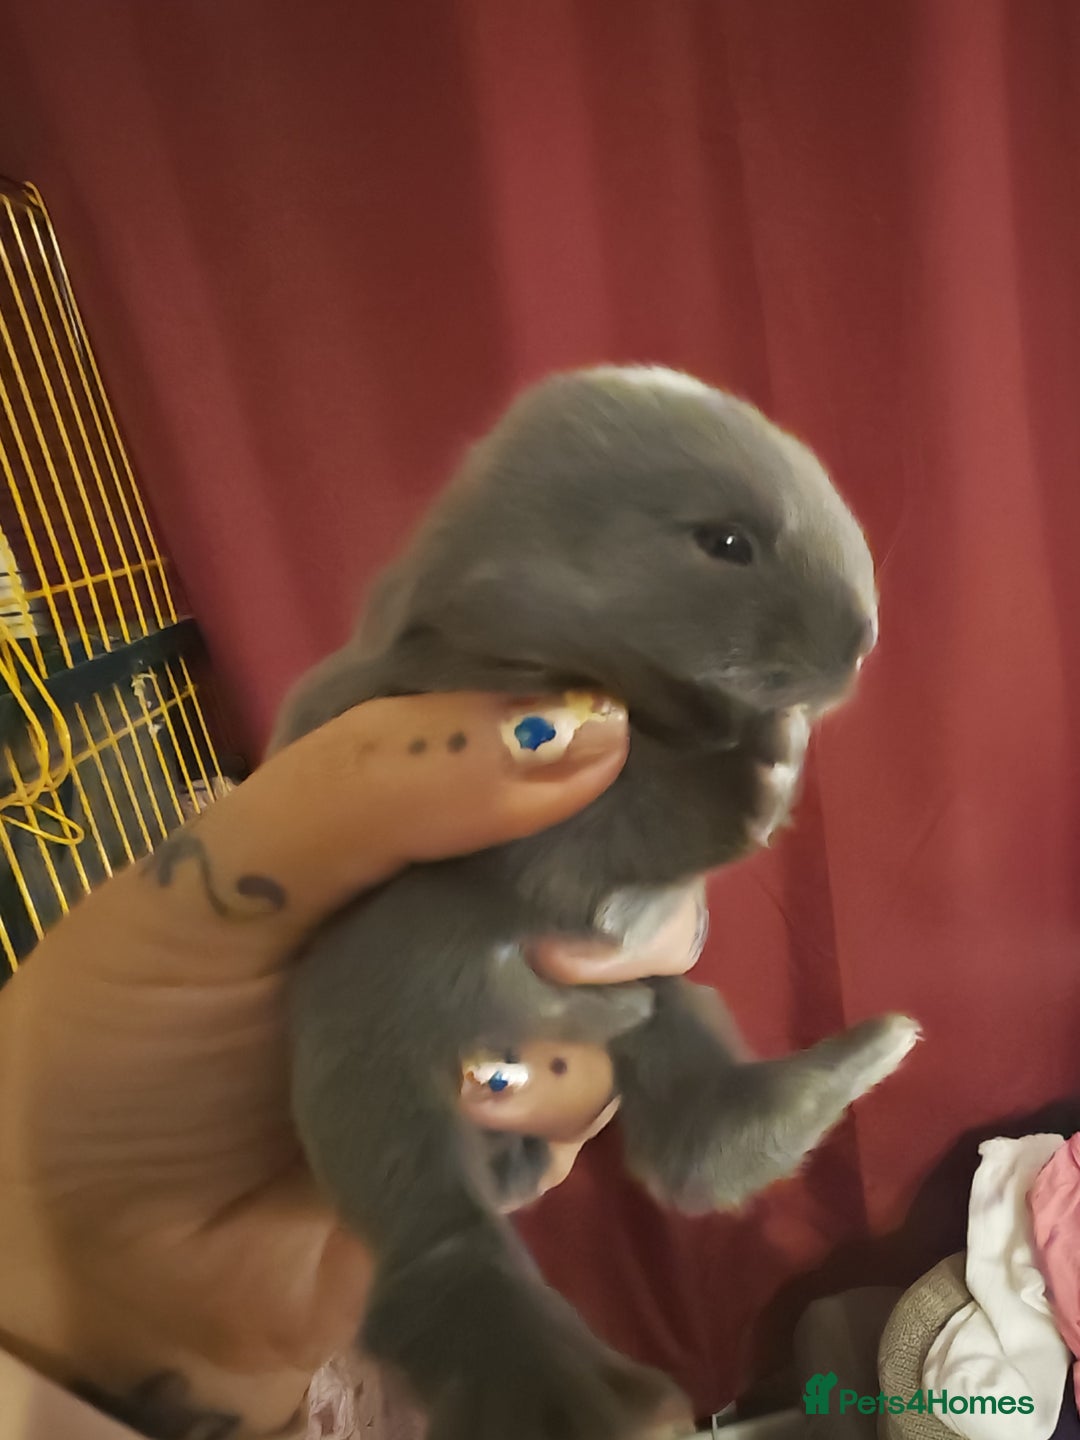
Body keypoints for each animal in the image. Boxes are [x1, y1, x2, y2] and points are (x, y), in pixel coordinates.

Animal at [268, 365, 920, 1440]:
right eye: (727, 543)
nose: (864, 643)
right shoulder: (495, 783)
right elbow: (621, 815)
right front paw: (759, 769)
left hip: (656, 1005)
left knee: (697, 1142)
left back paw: (847, 1063)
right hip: (371, 1062)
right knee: (435, 1256)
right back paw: (580, 1403)